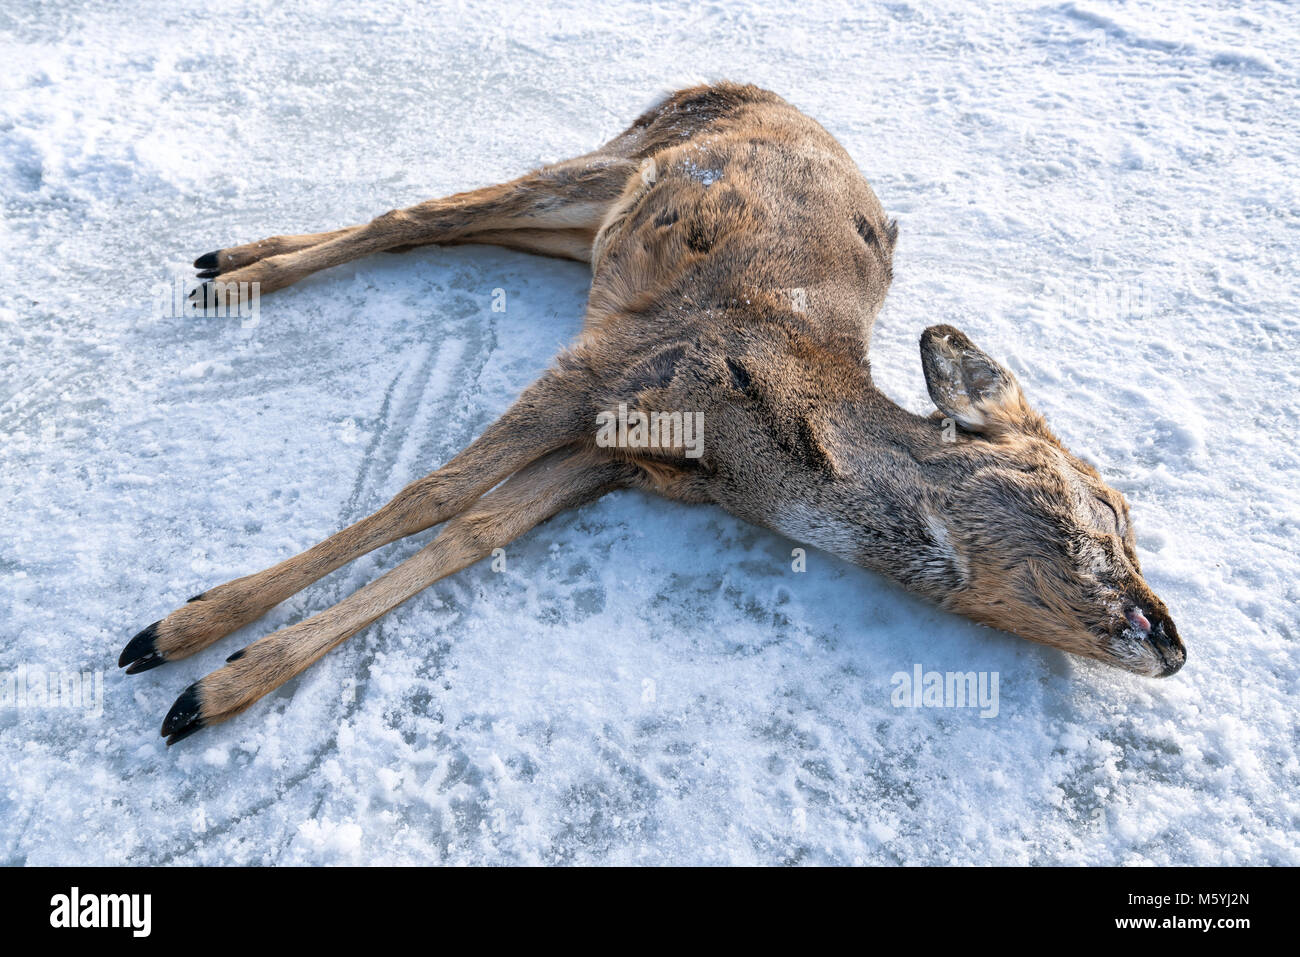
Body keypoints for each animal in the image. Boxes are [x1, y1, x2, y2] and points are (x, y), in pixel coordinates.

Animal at [124, 82, 1190, 743]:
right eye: (1110, 510)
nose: (1174, 640)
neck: (758, 458)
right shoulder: (609, 366)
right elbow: (435, 494)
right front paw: (186, 641)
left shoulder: (619, 457)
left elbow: (474, 530)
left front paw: (221, 676)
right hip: (612, 159)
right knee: (419, 214)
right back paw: (232, 275)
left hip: (583, 227)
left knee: (447, 226)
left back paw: (231, 261)